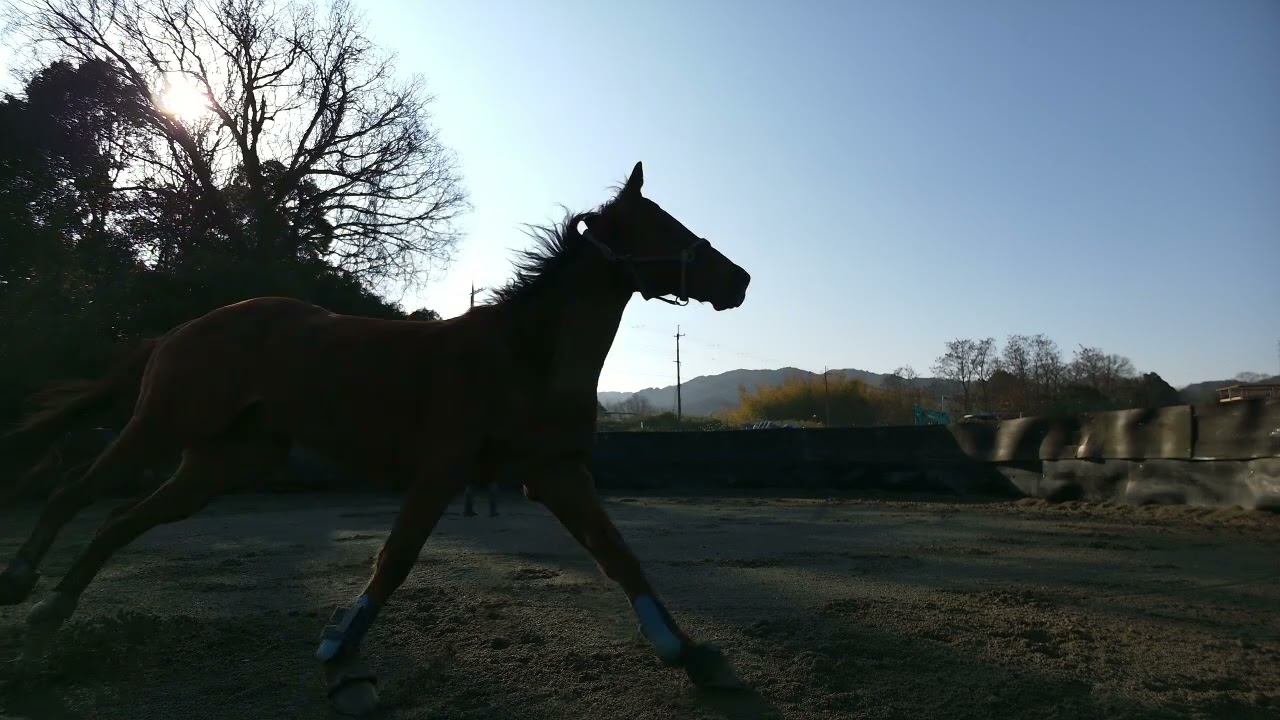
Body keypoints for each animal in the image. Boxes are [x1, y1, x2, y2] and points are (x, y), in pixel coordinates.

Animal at [0, 161, 751, 715]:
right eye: (662, 223)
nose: (740, 279)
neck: (524, 356)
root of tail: (181, 329)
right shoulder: (444, 467)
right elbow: (394, 560)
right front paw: (341, 655)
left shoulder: (556, 471)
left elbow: (621, 556)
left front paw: (692, 655)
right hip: (165, 423)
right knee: (76, 492)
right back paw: (22, 583)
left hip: (221, 463)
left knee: (118, 522)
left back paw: (48, 619)